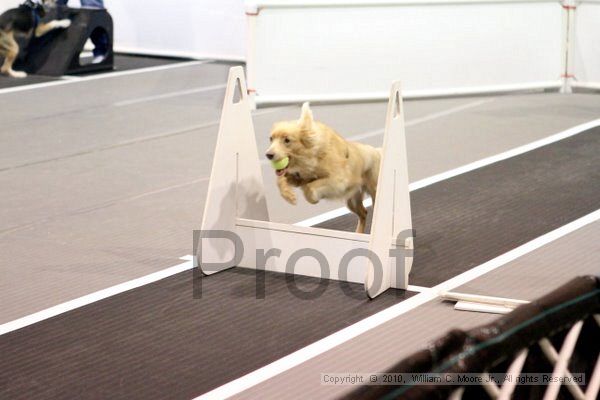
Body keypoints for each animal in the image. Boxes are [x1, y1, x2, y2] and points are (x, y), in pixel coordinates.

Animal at [266, 103, 382, 234]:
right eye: (271, 139)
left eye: (287, 140)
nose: (268, 155)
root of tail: (377, 151)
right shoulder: (297, 175)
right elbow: (281, 179)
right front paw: (288, 195)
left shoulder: (338, 180)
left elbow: (309, 188)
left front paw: (313, 196)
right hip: (351, 200)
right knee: (363, 213)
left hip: (373, 192)